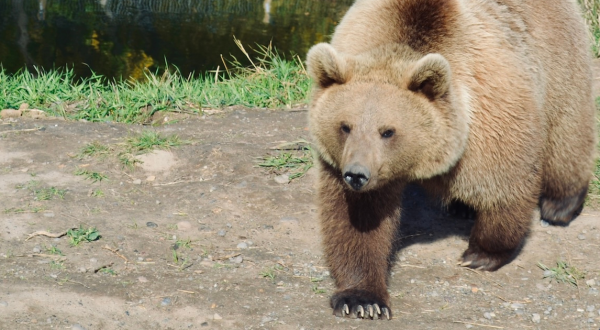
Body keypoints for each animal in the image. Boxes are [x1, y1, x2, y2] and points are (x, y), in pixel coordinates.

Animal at [308, 0, 596, 320]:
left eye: (388, 131)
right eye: (345, 126)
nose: (356, 174)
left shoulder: (487, 117)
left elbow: (504, 186)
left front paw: (480, 254)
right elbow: (359, 221)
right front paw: (362, 299)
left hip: (555, 56)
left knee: (568, 130)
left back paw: (561, 206)